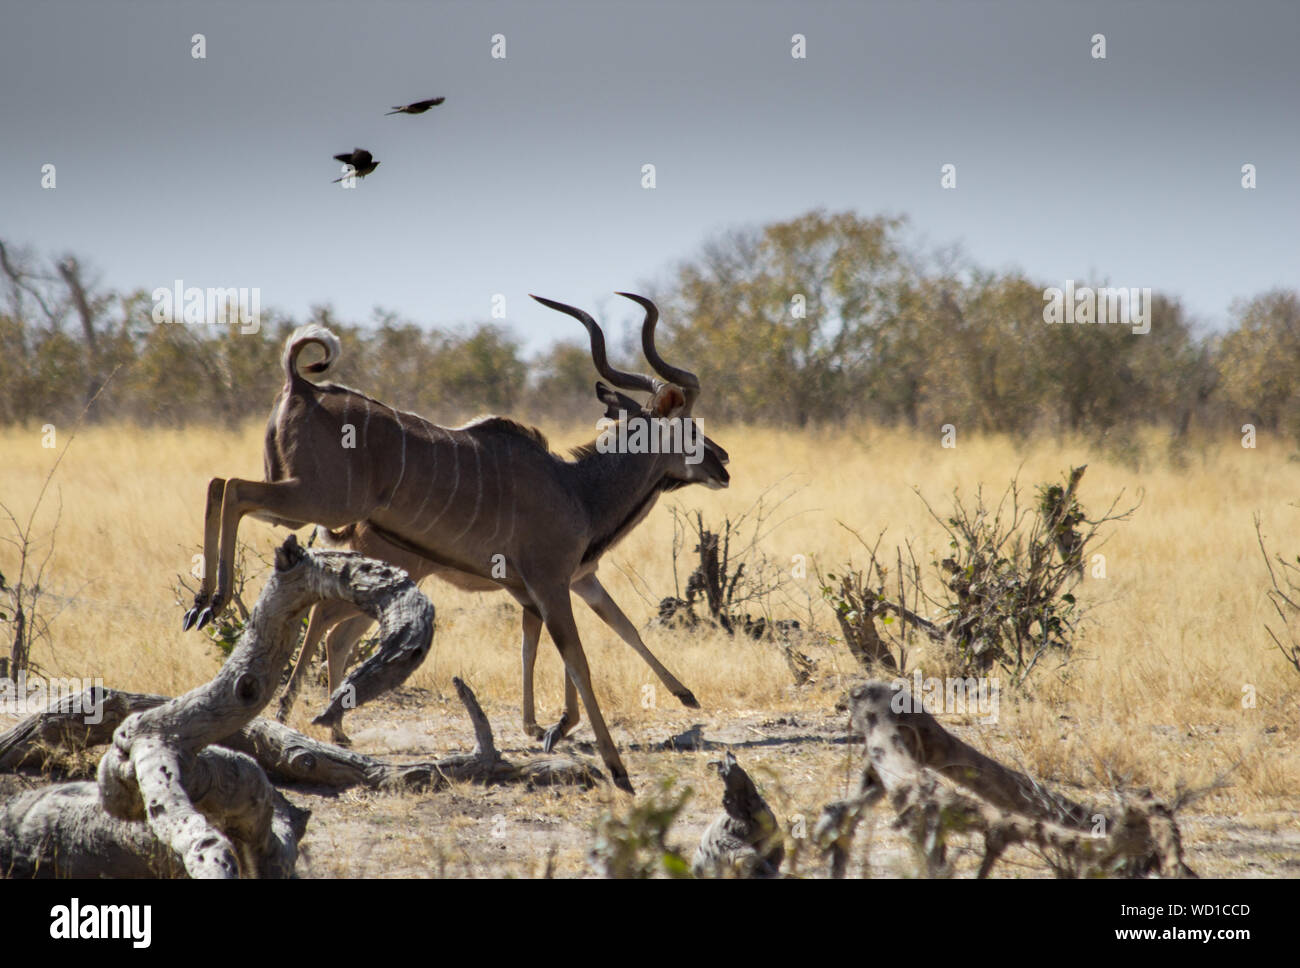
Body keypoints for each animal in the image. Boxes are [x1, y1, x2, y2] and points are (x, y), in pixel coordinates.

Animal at [182, 292, 729, 793]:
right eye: (688, 426)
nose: (723, 462)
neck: (577, 488)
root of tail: (301, 385)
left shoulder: (546, 586)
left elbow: (589, 636)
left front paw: (560, 727)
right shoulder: (551, 582)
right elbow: (579, 659)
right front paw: (614, 767)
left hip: (302, 507)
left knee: (222, 487)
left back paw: (213, 612)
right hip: (318, 501)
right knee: (236, 492)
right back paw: (217, 606)